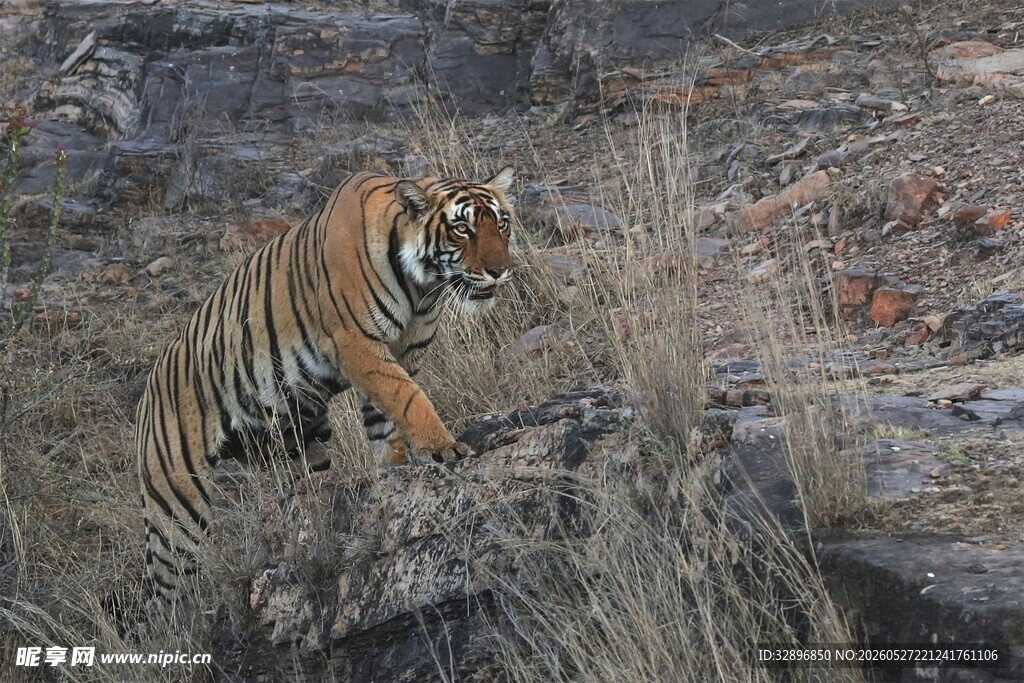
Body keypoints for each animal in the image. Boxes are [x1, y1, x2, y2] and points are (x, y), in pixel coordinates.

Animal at [135, 167, 515, 606]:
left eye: (501, 224)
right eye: (462, 229)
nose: (500, 270)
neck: (421, 288)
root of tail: (146, 395)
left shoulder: (401, 354)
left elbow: (388, 424)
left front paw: (392, 472)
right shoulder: (358, 346)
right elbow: (409, 399)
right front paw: (443, 447)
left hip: (299, 442)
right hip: (177, 511)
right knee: (170, 592)